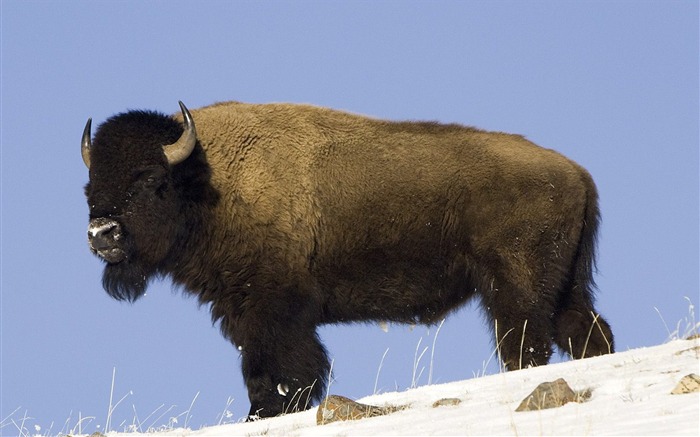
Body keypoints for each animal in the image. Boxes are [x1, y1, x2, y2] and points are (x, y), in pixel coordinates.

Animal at [83, 100, 612, 418]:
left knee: (525, 344)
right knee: (586, 333)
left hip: (515, 287)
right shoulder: (242, 310)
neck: (207, 180)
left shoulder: (274, 312)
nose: (102, 234)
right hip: (565, 286)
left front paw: (267, 413)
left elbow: (281, 370)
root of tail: (577, 173)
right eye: (89, 187)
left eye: (152, 181)